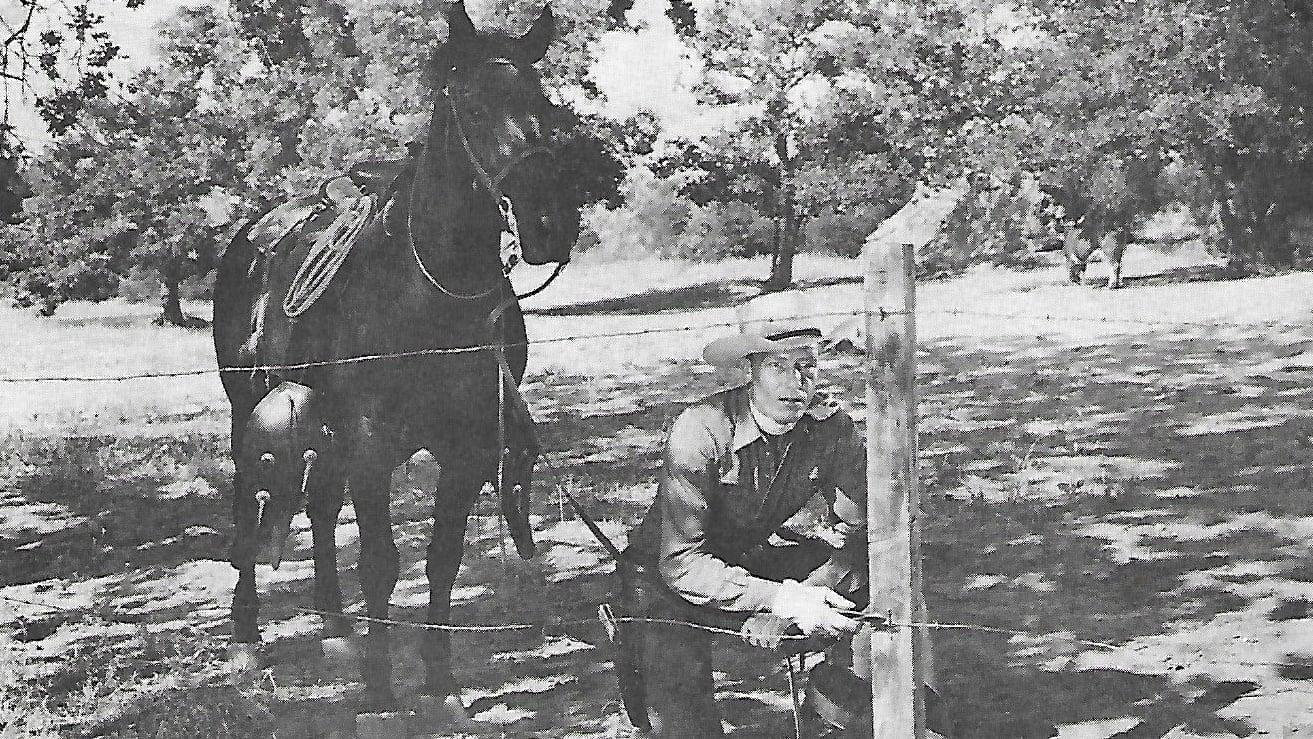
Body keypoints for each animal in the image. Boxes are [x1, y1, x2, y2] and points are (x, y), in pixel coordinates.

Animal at [211, 2, 580, 724]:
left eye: (544, 106)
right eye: (472, 106)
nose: (549, 222)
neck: (421, 294)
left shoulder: (466, 448)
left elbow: (443, 557)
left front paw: (438, 680)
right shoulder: (372, 446)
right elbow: (381, 563)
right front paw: (381, 692)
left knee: (321, 507)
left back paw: (334, 624)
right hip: (249, 411)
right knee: (250, 504)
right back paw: (247, 633)